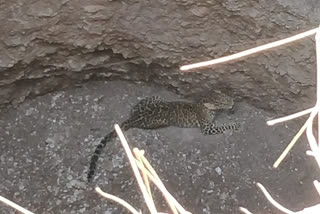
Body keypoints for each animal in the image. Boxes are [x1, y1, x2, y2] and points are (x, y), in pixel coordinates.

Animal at [87, 90, 240, 182]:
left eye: (226, 97)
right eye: (222, 102)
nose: (233, 103)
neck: (204, 104)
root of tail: (135, 116)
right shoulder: (207, 128)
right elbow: (223, 126)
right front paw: (235, 125)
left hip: (156, 98)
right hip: (161, 120)